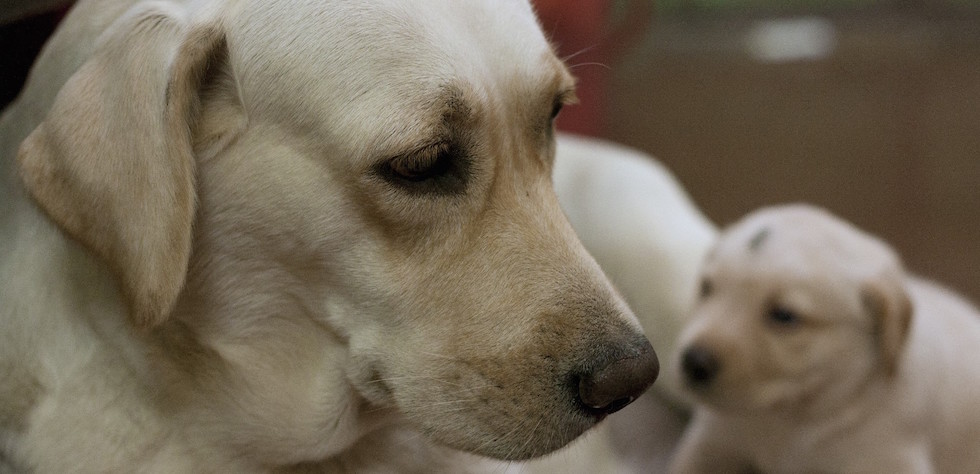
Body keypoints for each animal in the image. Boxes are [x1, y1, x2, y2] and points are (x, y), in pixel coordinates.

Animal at [668, 205, 980, 474]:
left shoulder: (887, 460)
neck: (794, 417)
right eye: (707, 288)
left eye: (784, 315)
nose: (693, 362)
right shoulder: (711, 442)